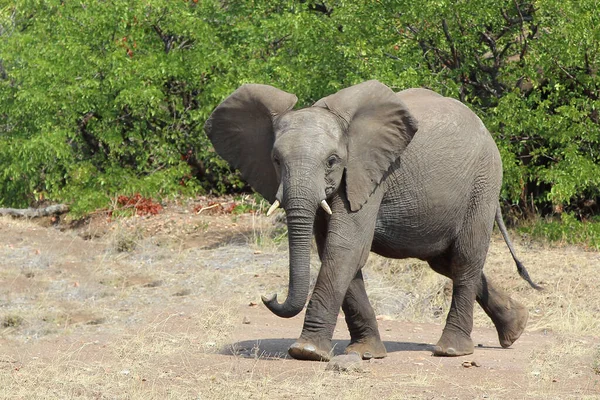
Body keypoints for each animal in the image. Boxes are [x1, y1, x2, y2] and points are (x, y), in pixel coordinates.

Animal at [204, 79, 540, 360]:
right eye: (275, 160)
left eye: (332, 161)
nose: (268, 295)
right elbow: (335, 251)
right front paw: (366, 353)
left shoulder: (369, 174)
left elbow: (345, 248)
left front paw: (306, 352)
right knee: (445, 262)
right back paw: (517, 327)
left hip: (482, 184)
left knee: (465, 258)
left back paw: (451, 350)